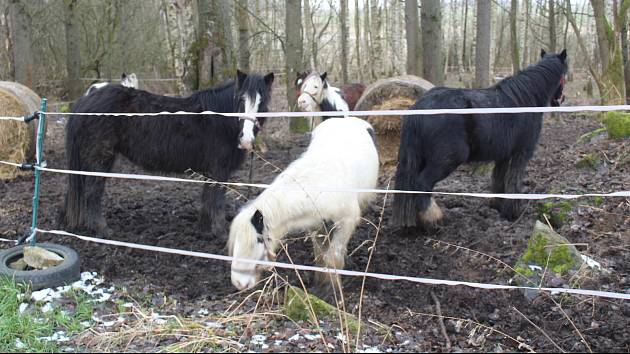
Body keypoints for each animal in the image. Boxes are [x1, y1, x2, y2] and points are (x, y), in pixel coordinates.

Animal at [61, 70, 274, 235]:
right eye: (241, 100)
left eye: (262, 103)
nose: (245, 139)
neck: (220, 119)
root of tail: (86, 99)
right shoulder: (219, 171)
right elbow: (217, 201)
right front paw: (220, 232)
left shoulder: (210, 172)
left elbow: (207, 200)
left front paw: (205, 230)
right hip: (100, 159)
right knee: (92, 193)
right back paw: (103, 230)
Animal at [231, 116, 380, 296]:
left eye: (259, 239)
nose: (238, 283)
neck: (321, 186)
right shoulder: (317, 225)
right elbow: (321, 255)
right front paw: (320, 284)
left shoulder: (346, 222)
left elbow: (333, 258)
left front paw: (334, 293)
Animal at [392, 49, 572, 227]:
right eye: (565, 76)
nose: (560, 100)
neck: (525, 100)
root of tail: (419, 107)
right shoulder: (521, 153)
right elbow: (513, 181)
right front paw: (512, 212)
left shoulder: (504, 156)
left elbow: (499, 180)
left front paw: (498, 206)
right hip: (446, 160)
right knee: (422, 184)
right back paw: (433, 218)